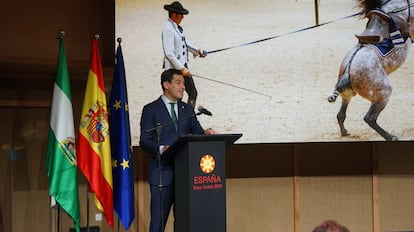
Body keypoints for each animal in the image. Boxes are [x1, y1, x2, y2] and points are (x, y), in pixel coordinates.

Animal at [328, 0, 412, 140]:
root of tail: (348, 71)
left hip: (347, 95)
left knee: (341, 115)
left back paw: (345, 132)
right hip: (383, 94)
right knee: (369, 118)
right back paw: (391, 137)